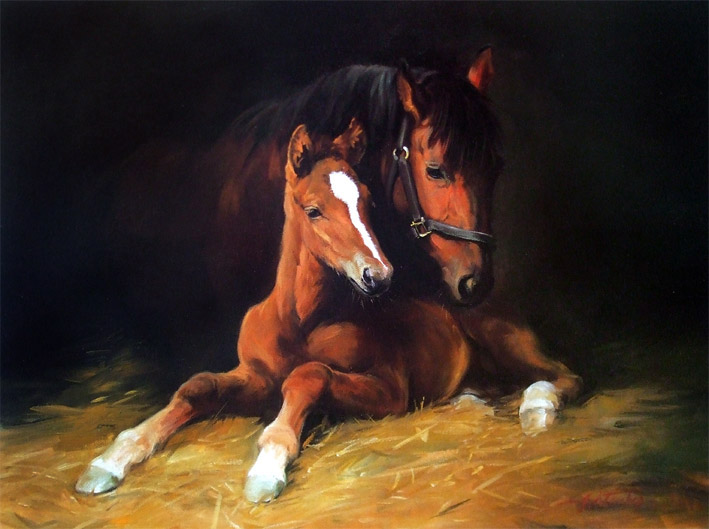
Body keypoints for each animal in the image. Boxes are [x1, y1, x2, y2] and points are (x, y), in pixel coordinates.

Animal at [77, 119, 475, 503]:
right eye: (313, 211)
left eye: (368, 204)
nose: (378, 275)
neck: (298, 323)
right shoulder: (257, 377)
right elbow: (198, 384)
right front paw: (110, 460)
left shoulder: (391, 390)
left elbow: (308, 374)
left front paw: (267, 467)